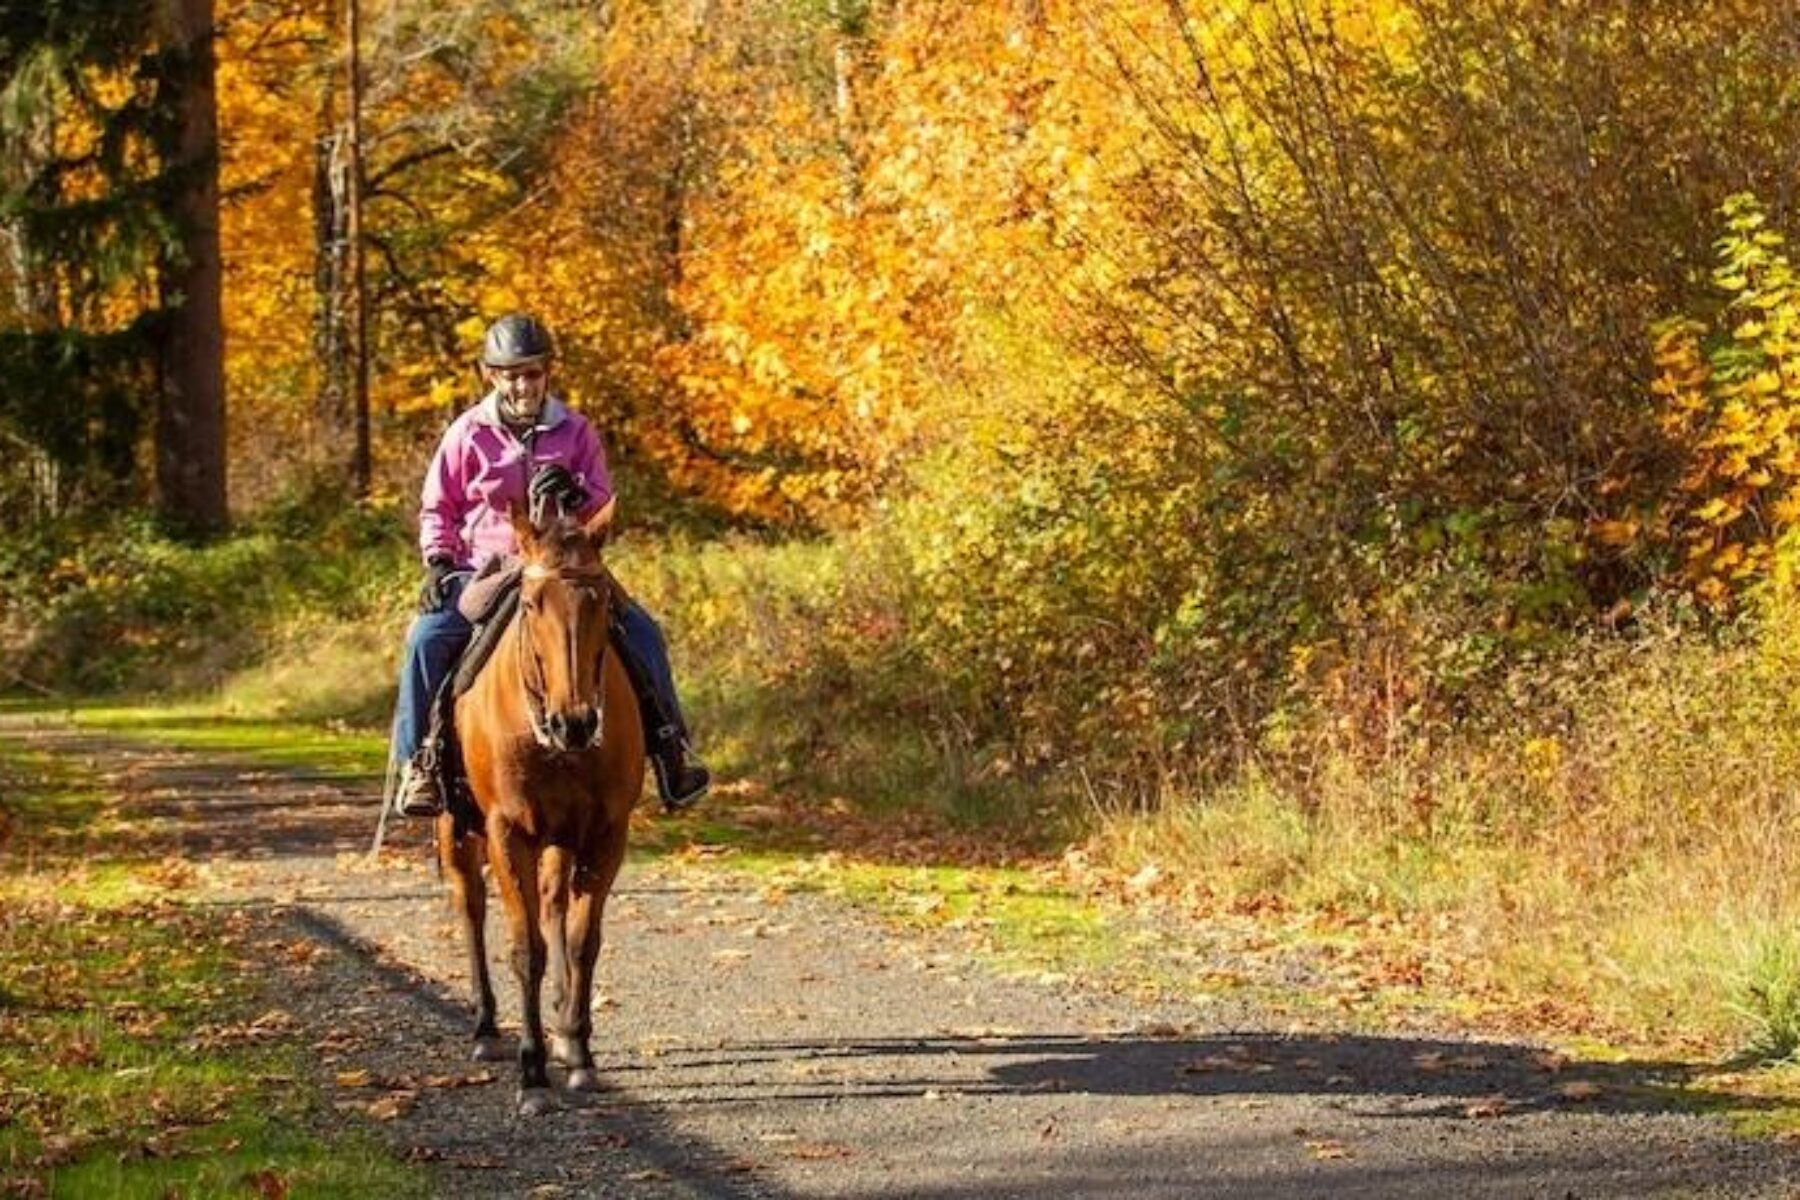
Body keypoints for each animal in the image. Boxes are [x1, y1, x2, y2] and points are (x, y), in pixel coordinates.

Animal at [437, 496, 648, 1115]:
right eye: (531, 604)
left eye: (602, 600)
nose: (573, 722)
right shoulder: (508, 833)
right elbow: (525, 948)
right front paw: (531, 1074)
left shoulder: (605, 833)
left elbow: (580, 940)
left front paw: (577, 1052)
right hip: (455, 829)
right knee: (470, 908)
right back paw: (486, 1029)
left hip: (560, 838)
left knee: (555, 907)